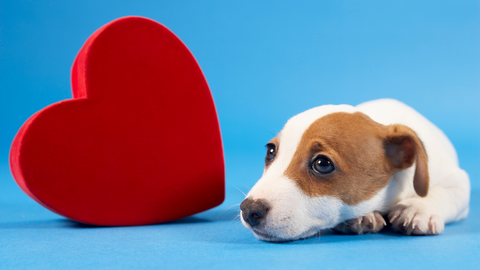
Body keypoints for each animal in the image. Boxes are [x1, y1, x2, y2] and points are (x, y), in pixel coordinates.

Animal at [240, 98, 468, 242]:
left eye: (322, 164)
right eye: (271, 151)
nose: (249, 210)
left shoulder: (458, 181)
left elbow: (444, 192)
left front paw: (418, 208)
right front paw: (362, 217)